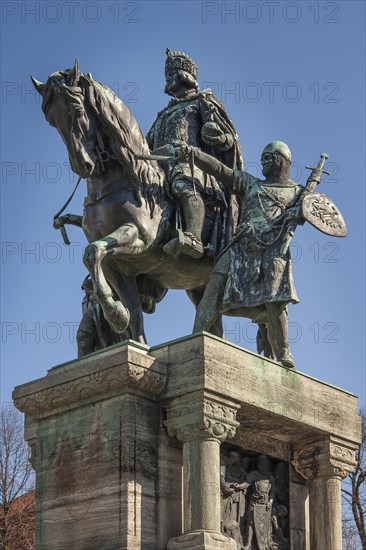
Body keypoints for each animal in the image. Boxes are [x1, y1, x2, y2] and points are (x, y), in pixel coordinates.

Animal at [31, 61, 234, 344]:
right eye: (51, 120)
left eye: (76, 109)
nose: (83, 165)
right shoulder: (119, 267)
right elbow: (134, 314)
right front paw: (129, 331)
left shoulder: (138, 236)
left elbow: (92, 251)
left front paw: (115, 314)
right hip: (197, 283)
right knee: (212, 321)